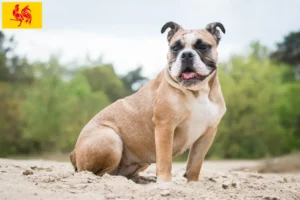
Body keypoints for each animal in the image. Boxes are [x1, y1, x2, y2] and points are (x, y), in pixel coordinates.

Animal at [69, 21, 225, 183]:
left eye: (203, 46)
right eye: (175, 48)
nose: (186, 54)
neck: (197, 92)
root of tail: (73, 153)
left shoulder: (207, 134)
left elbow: (195, 164)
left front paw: (192, 183)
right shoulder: (165, 127)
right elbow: (165, 160)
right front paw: (164, 183)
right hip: (111, 139)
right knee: (98, 173)